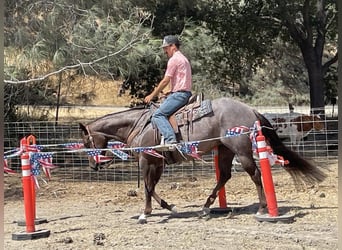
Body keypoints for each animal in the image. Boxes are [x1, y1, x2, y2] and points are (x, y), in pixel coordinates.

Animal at [79, 96, 326, 224]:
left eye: (86, 141)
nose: (93, 165)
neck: (139, 125)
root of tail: (251, 110)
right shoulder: (156, 163)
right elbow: (153, 187)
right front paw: (170, 207)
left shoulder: (147, 161)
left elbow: (148, 187)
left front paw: (145, 214)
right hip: (224, 150)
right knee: (224, 175)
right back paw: (206, 207)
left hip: (242, 151)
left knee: (255, 174)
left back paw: (263, 209)